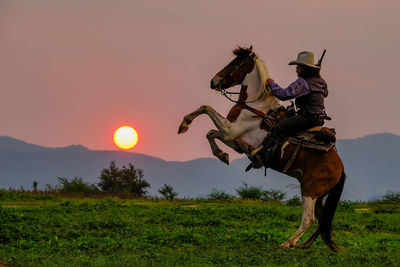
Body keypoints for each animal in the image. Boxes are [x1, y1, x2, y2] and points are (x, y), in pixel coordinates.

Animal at [177, 46, 344, 251]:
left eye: (234, 63)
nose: (213, 81)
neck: (254, 106)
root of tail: (340, 167)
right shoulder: (236, 141)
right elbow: (210, 133)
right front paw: (222, 155)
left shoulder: (230, 131)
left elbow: (205, 108)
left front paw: (184, 124)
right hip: (319, 196)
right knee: (323, 221)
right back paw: (303, 244)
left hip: (309, 190)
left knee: (308, 219)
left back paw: (288, 243)